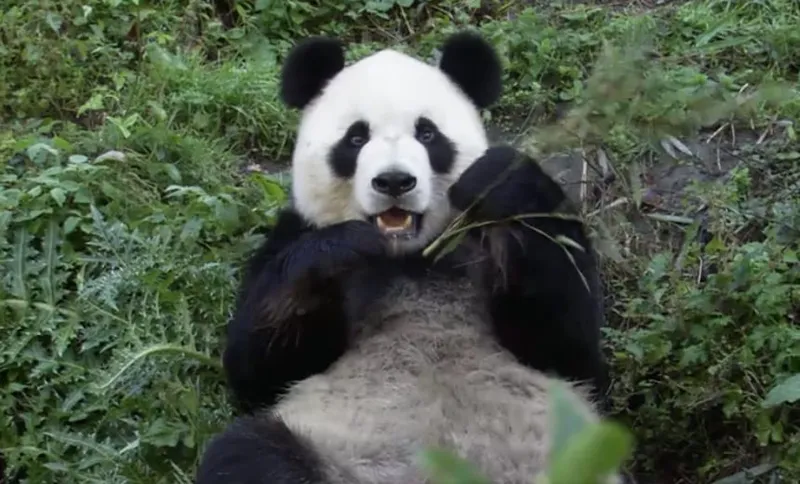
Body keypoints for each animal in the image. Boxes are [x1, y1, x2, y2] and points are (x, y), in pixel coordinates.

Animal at [196, 31, 617, 484]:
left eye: (428, 134)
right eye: (356, 139)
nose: (394, 180)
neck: (411, 259)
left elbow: (569, 348)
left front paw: (500, 181)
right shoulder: (292, 235)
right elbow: (257, 368)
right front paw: (341, 249)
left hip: (578, 459)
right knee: (250, 452)